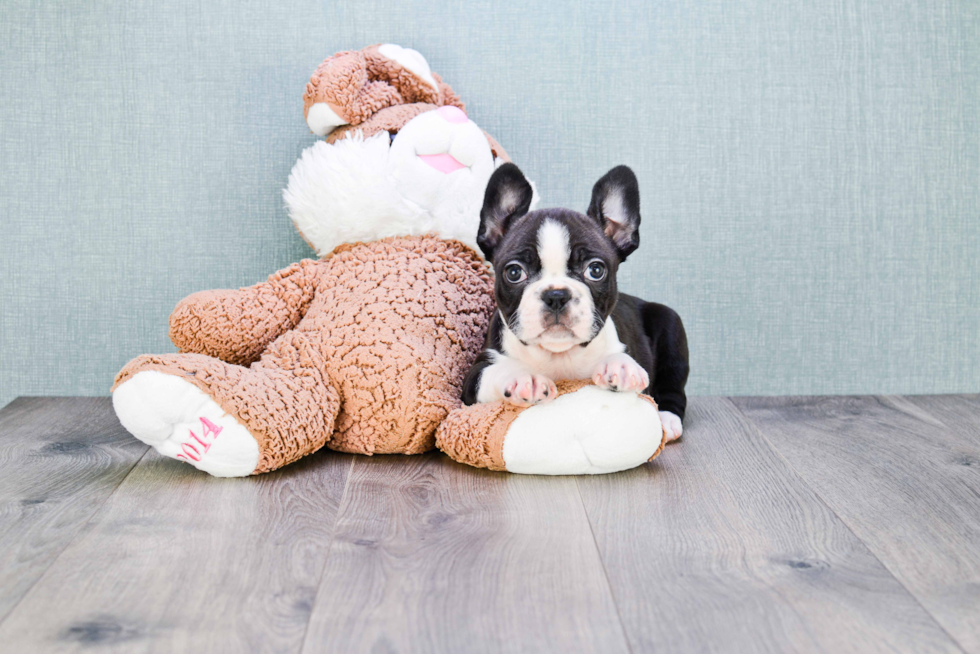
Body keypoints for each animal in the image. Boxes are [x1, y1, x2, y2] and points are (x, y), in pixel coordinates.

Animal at [466, 163, 688, 446]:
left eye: (595, 270)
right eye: (514, 272)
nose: (556, 295)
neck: (557, 355)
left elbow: (620, 356)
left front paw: (620, 365)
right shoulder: (474, 376)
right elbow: (494, 372)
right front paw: (522, 377)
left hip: (670, 323)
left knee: (674, 390)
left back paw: (667, 419)